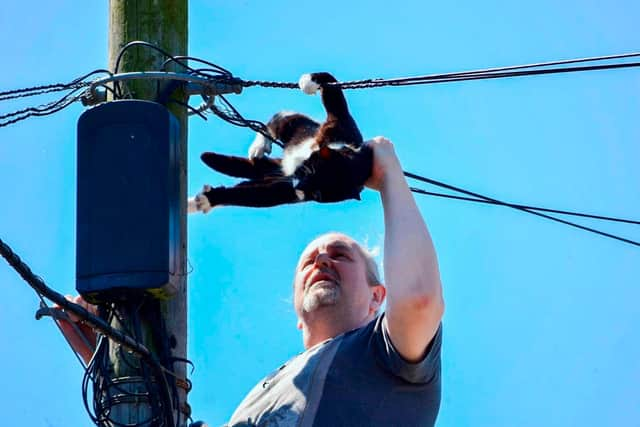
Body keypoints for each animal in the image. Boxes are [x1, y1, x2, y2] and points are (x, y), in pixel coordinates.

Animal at [188, 73, 372, 216]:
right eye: (311, 173)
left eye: (317, 195)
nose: (298, 187)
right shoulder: (343, 128)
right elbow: (333, 90)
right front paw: (309, 82)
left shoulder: (287, 191)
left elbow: (251, 195)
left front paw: (207, 200)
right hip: (294, 126)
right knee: (276, 119)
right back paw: (258, 147)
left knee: (250, 183)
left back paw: (200, 200)